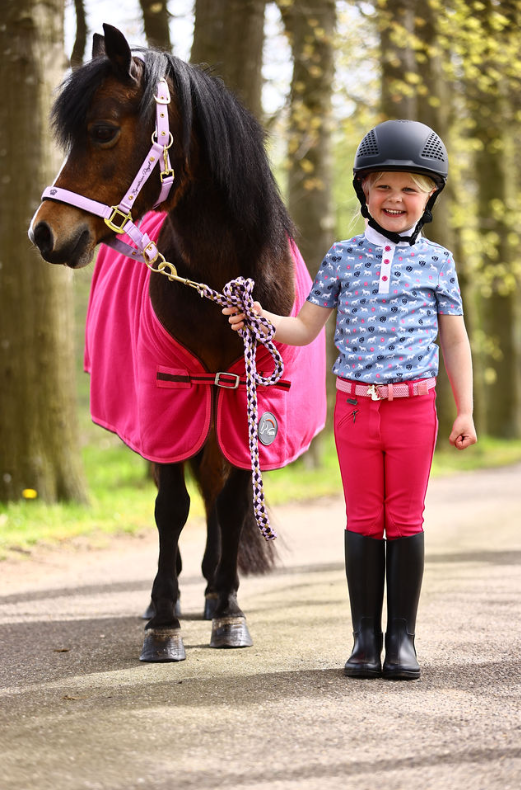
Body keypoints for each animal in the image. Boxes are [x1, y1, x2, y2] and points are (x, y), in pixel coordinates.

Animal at [29, 26, 296, 664]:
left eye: (102, 130)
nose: (43, 233)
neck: (226, 278)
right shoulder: (167, 399)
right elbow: (171, 507)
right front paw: (164, 621)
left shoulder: (238, 395)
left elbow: (229, 503)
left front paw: (229, 609)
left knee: (217, 490)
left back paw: (213, 591)